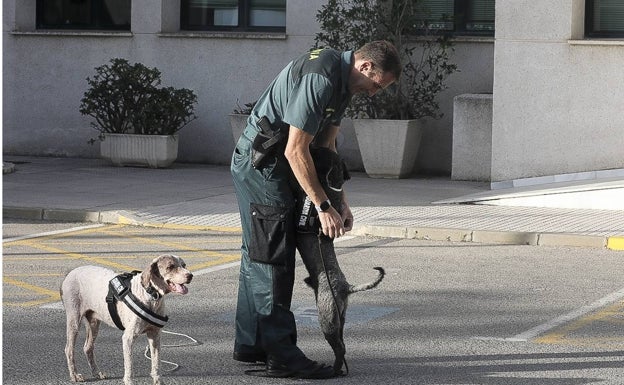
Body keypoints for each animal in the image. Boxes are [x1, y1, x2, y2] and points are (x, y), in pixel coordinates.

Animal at [61, 255, 193, 384]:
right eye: (170, 266)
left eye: (184, 265)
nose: (190, 275)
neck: (150, 295)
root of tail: (69, 273)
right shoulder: (128, 338)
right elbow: (129, 366)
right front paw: (128, 381)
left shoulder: (154, 335)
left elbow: (156, 363)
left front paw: (158, 381)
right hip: (74, 320)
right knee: (68, 349)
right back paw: (74, 375)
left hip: (93, 323)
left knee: (88, 347)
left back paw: (97, 373)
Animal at [296, 147, 386, 376]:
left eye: (319, 153)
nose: (310, 147)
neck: (331, 188)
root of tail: (346, 287)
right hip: (340, 318)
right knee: (342, 344)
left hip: (327, 320)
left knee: (339, 348)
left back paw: (334, 370)